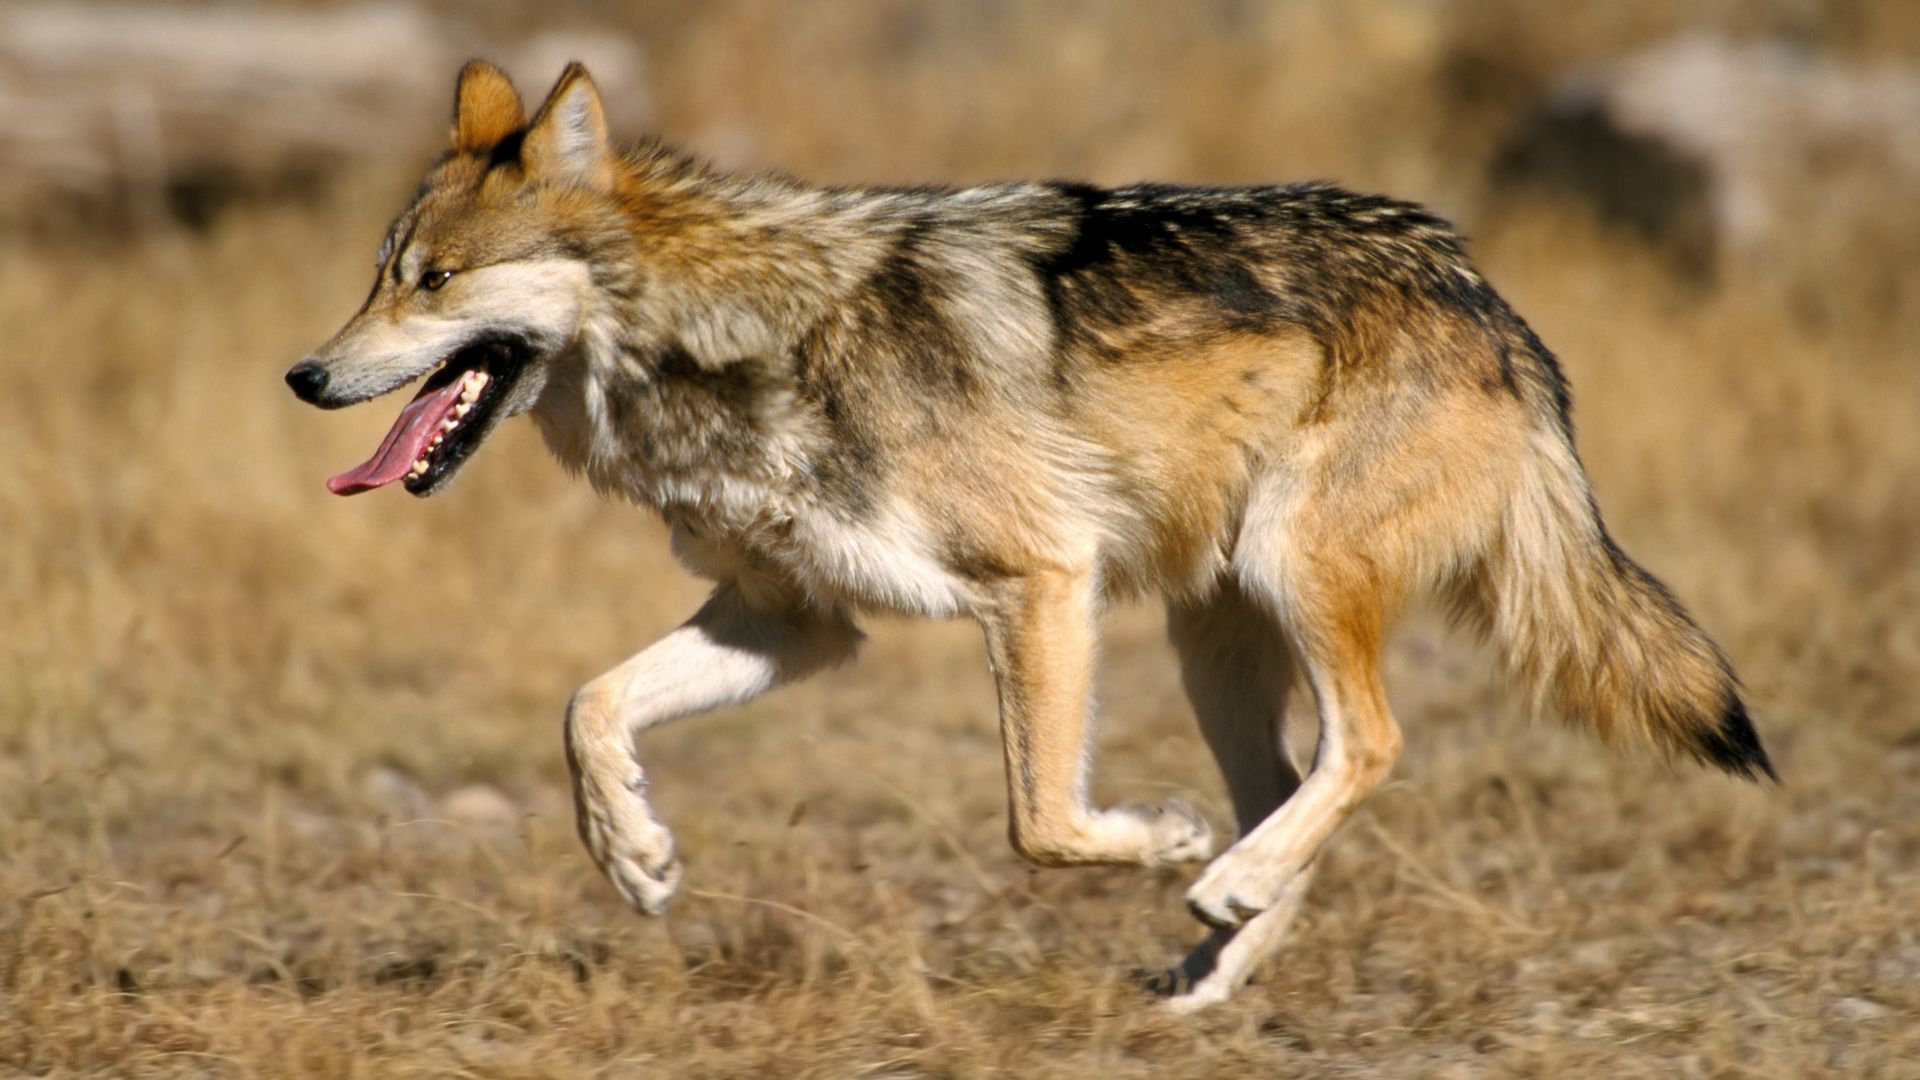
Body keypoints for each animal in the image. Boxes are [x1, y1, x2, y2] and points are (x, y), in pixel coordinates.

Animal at [286, 61, 1774, 1010]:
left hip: (1286, 578)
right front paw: (635, 856)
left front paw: (1158, 840)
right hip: (1212, 639)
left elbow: (1042, 823)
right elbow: (588, 708)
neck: (736, 340)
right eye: (377, 276)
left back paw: (1216, 881)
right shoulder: (794, 622)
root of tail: (1484, 294)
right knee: (1295, 786)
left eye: (433, 281)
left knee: (1369, 747)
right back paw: (1213, 962)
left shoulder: (1040, 583)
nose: (303, 375)